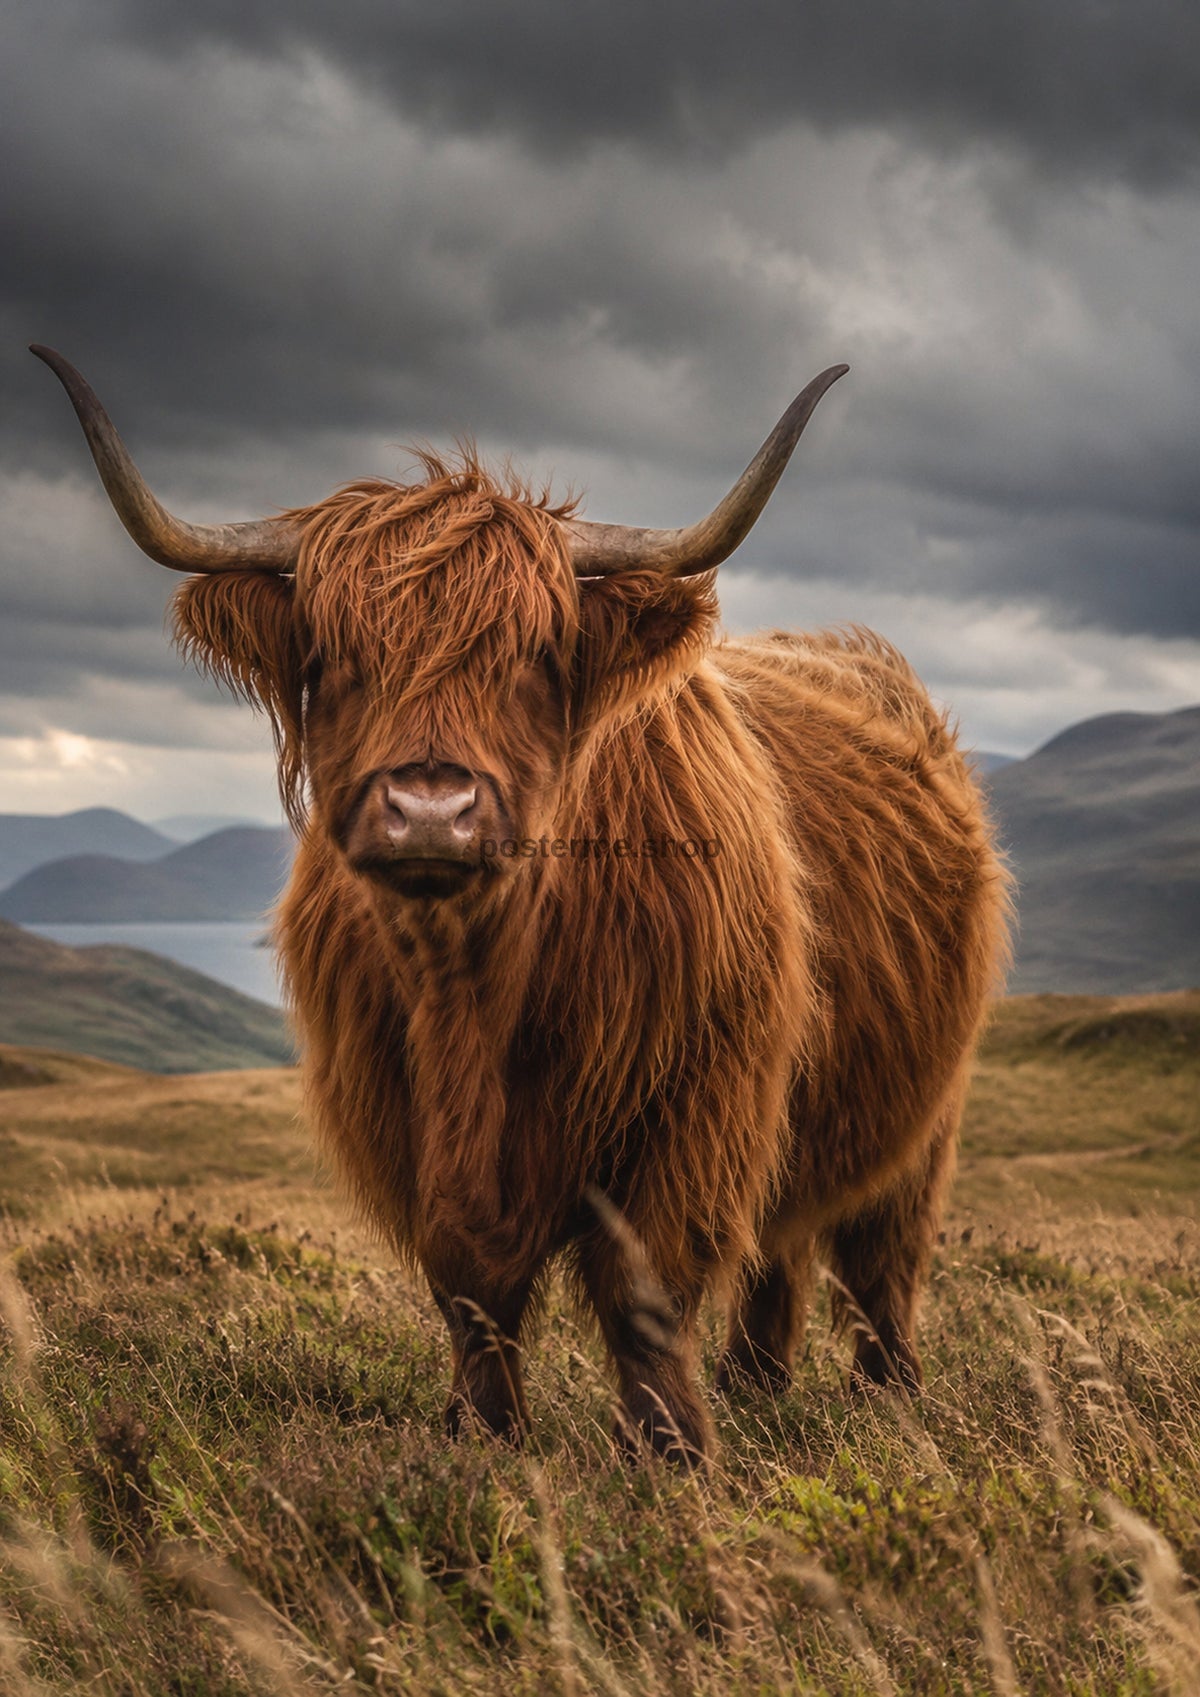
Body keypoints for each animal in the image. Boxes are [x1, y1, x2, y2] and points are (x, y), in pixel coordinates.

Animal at [33, 345, 1010, 1465]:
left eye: (536, 656)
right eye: (332, 655)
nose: (430, 808)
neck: (473, 983)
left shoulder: (696, 1101)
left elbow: (642, 1285)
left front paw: (671, 1453)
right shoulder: (409, 1123)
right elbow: (470, 1285)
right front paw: (484, 1436)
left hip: (924, 1115)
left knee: (880, 1253)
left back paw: (884, 1397)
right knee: (788, 1244)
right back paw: (756, 1385)